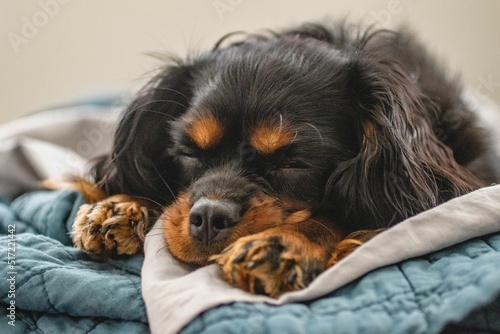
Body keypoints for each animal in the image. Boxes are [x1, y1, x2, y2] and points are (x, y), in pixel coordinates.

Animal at [61, 20, 496, 298]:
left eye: (292, 163)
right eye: (188, 152)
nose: (208, 217)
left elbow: (339, 212)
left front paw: (282, 245)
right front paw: (119, 205)